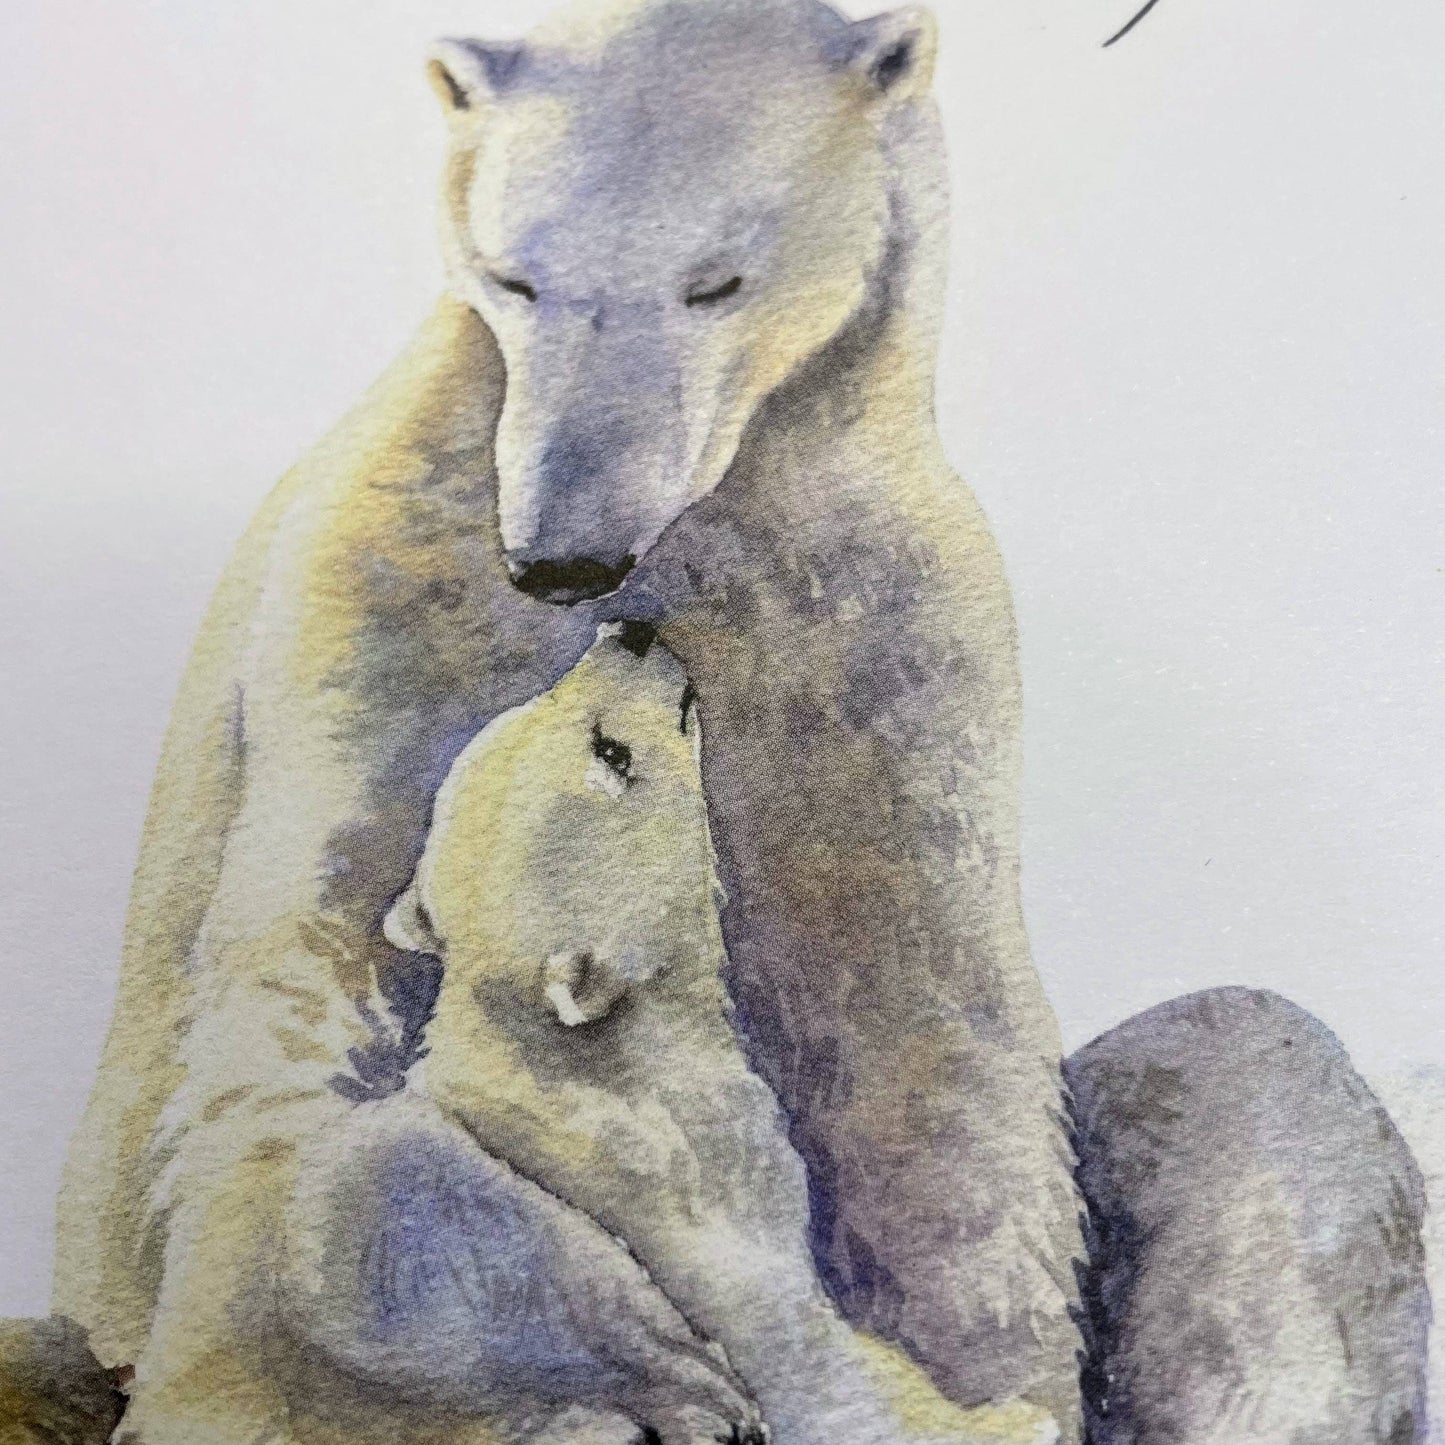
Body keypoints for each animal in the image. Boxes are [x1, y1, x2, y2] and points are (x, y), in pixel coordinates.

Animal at [55, 0, 1066, 1433]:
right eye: (511, 275)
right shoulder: (392, 581)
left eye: (715, 281)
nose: (567, 561)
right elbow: (311, 946)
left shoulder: (886, 637)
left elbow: (931, 1026)